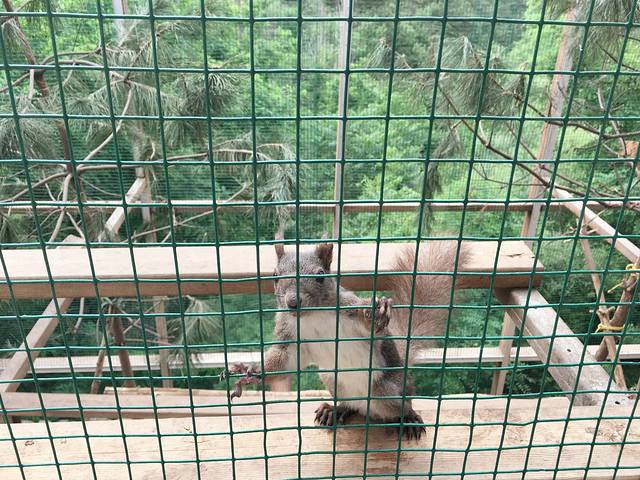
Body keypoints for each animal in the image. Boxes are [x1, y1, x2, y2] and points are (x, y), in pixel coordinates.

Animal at [225, 237, 468, 441]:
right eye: (275, 276)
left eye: (320, 275)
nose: (293, 302)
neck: (313, 316)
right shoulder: (290, 336)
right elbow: (285, 360)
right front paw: (250, 371)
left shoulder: (350, 308)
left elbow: (374, 331)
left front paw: (378, 313)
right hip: (332, 379)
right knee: (352, 404)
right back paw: (337, 409)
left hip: (387, 390)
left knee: (401, 405)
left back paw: (409, 417)